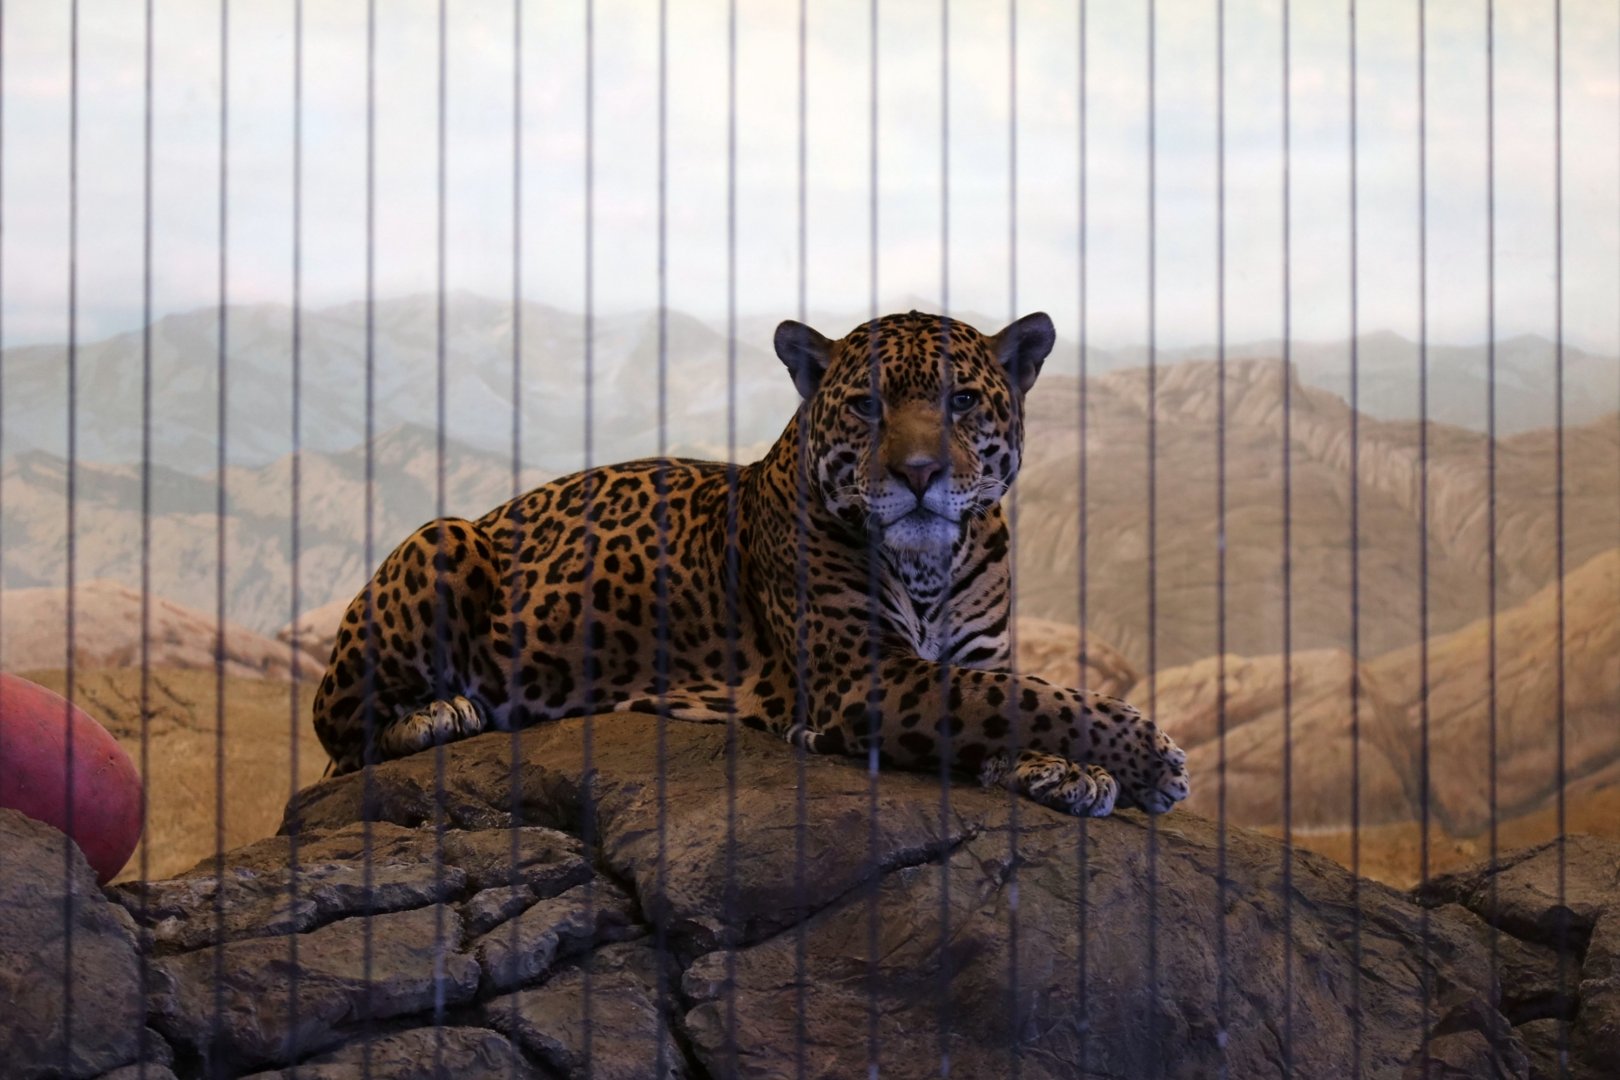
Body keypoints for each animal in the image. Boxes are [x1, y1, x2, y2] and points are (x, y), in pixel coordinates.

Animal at [312, 309, 1190, 817]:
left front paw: (1065, 769)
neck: (931, 567)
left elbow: (1023, 697)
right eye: (866, 405)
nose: (918, 473)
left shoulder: (971, 657)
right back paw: (435, 715)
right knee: (338, 737)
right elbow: (1029, 699)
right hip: (444, 538)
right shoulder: (865, 678)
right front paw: (1153, 760)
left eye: (963, 401)